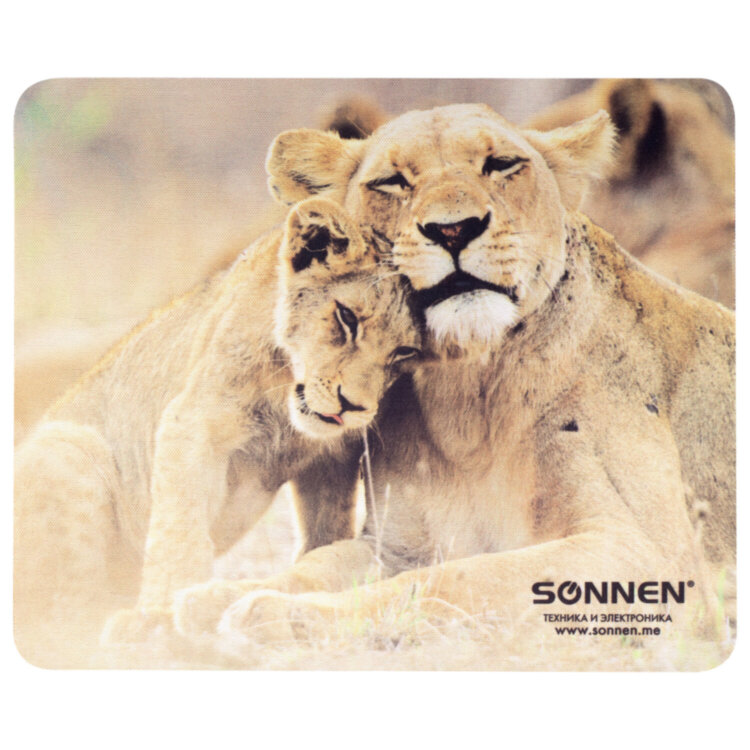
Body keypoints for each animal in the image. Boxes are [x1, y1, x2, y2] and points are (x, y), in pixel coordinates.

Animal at [13, 197, 421, 666]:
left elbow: (325, 533)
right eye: (346, 317)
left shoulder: (331, 459)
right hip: (65, 448)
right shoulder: (191, 422)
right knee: (58, 618)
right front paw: (158, 617)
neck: (285, 395)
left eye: (405, 351)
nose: (352, 406)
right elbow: (180, 533)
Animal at [177, 104, 734, 660]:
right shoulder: (397, 545)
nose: (453, 230)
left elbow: (457, 580)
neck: (466, 393)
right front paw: (206, 598)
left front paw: (277, 615)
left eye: (501, 164)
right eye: (393, 181)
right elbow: (317, 564)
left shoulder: (652, 555)